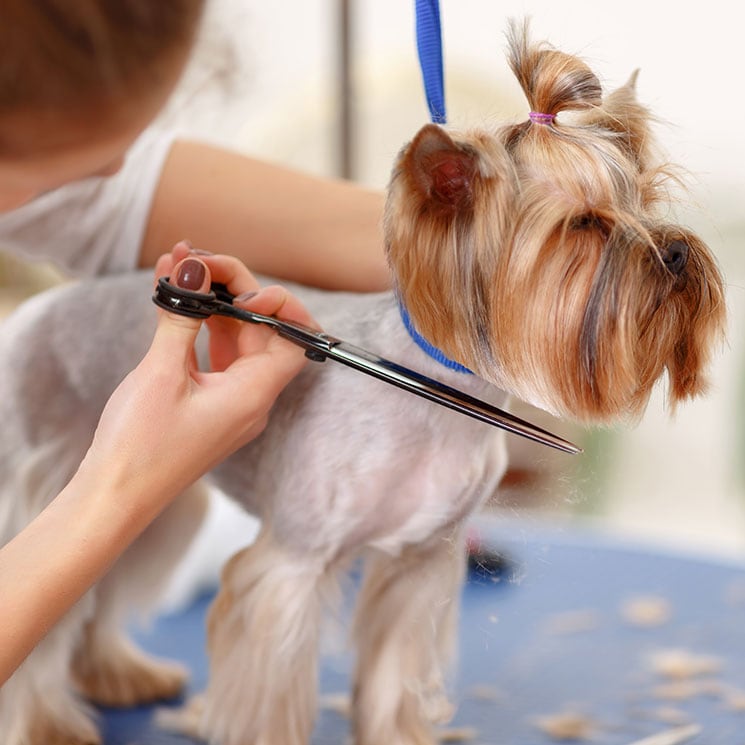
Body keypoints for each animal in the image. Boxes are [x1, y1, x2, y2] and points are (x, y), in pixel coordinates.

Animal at [0, 23, 724, 744]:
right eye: (584, 224)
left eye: (646, 199)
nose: (677, 251)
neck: (433, 398)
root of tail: (38, 311)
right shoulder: (289, 569)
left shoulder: (417, 566)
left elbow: (389, 683)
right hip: (67, 478)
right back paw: (48, 722)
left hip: (152, 503)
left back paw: (117, 674)